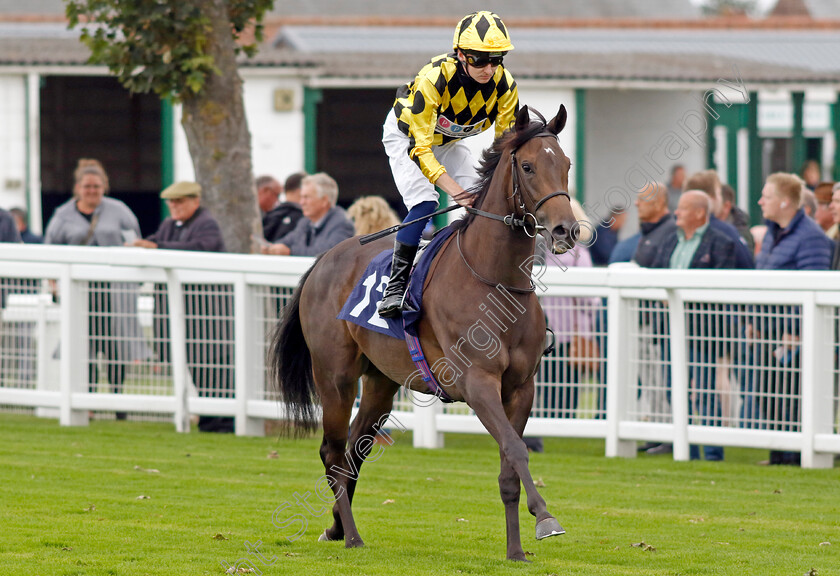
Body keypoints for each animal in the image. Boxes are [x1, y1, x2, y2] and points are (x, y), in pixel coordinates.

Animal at [272, 104, 580, 564]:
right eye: (527, 166)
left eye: (565, 164)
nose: (566, 230)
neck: (494, 280)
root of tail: (325, 258)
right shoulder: (477, 382)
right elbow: (515, 448)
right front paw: (546, 519)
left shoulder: (520, 387)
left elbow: (509, 463)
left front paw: (515, 550)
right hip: (334, 376)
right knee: (332, 449)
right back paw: (351, 536)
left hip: (380, 381)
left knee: (354, 451)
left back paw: (337, 527)